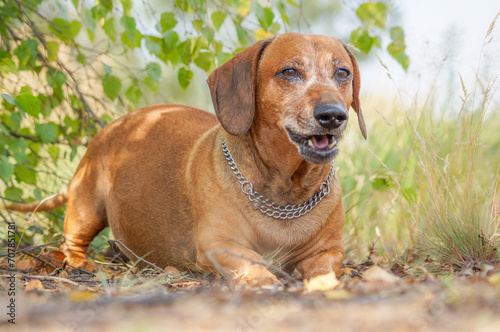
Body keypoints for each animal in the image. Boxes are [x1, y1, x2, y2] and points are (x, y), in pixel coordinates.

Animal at [5, 34, 366, 288]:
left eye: (342, 72)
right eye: (289, 71)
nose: (333, 115)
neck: (285, 194)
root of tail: (112, 126)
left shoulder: (329, 251)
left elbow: (323, 267)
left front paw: (323, 283)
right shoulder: (219, 245)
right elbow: (253, 260)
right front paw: (263, 278)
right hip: (86, 207)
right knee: (71, 245)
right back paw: (82, 263)